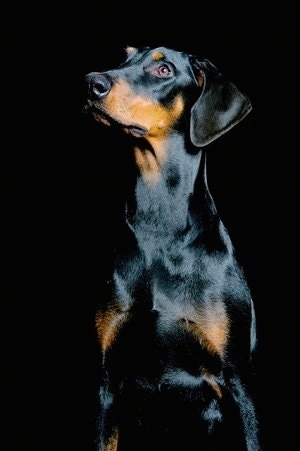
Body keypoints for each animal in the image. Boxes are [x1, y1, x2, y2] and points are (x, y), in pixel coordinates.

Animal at [84, 46, 260, 451]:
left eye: (164, 69)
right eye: (125, 57)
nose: (92, 82)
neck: (159, 227)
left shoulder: (237, 383)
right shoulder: (108, 385)